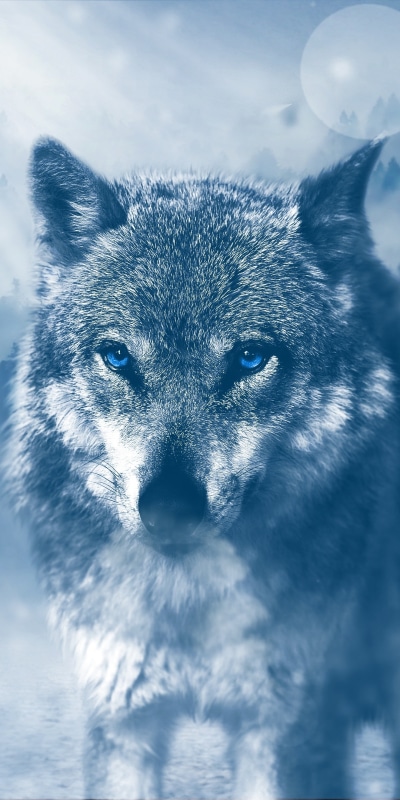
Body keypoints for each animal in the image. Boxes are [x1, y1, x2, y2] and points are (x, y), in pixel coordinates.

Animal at [5, 135, 400, 799]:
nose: (170, 508)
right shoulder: (122, 718)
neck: (185, 606)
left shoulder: (287, 727)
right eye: (118, 356)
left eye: (250, 357)